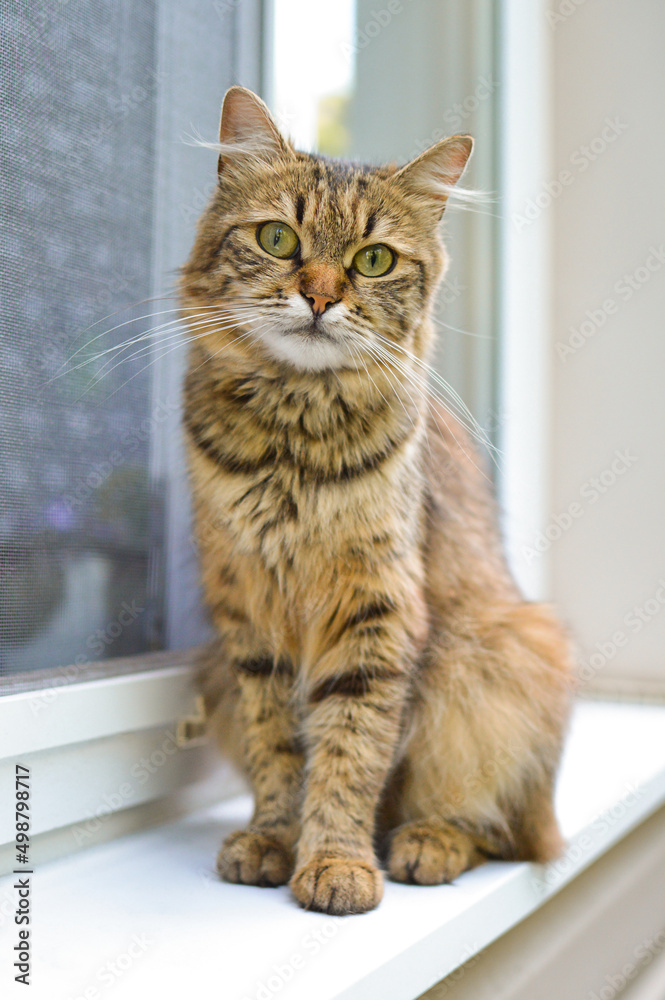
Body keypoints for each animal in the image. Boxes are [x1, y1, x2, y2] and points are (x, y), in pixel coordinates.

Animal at [179, 86, 572, 916]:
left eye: (373, 259)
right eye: (277, 239)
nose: (320, 297)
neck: (292, 446)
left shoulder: (374, 609)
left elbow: (349, 751)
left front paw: (336, 863)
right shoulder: (248, 615)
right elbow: (279, 748)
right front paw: (272, 839)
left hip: (503, 658)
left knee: (497, 831)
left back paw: (423, 845)